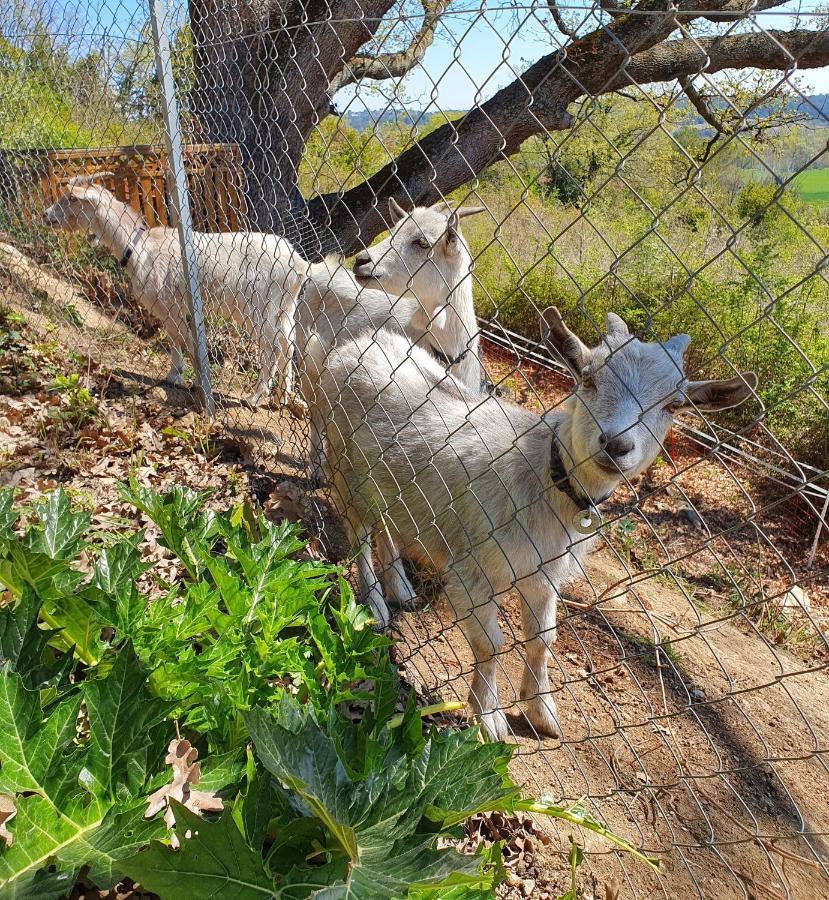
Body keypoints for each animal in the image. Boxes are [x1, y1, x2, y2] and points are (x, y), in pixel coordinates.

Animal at [42, 174, 308, 406]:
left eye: (72, 198)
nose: (46, 215)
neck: (139, 247)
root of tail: (298, 264)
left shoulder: (168, 304)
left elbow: (186, 340)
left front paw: (194, 381)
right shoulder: (170, 307)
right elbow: (174, 339)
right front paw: (175, 376)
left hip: (259, 308)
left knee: (272, 348)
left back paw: (256, 397)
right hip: (284, 309)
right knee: (288, 345)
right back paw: (283, 398)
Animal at [316, 310, 756, 740]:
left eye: (674, 405)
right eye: (589, 378)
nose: (616, 445)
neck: (541, 476)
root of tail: (361, 341)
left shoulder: (544, 572)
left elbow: (543, 639)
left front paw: (541, 710)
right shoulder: (472, 567)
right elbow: (490, 643)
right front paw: (489, 717)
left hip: (384, 481)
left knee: (386, 523)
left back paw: (401, 590)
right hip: (343, 463)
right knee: (360, 533)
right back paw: (374, 603)